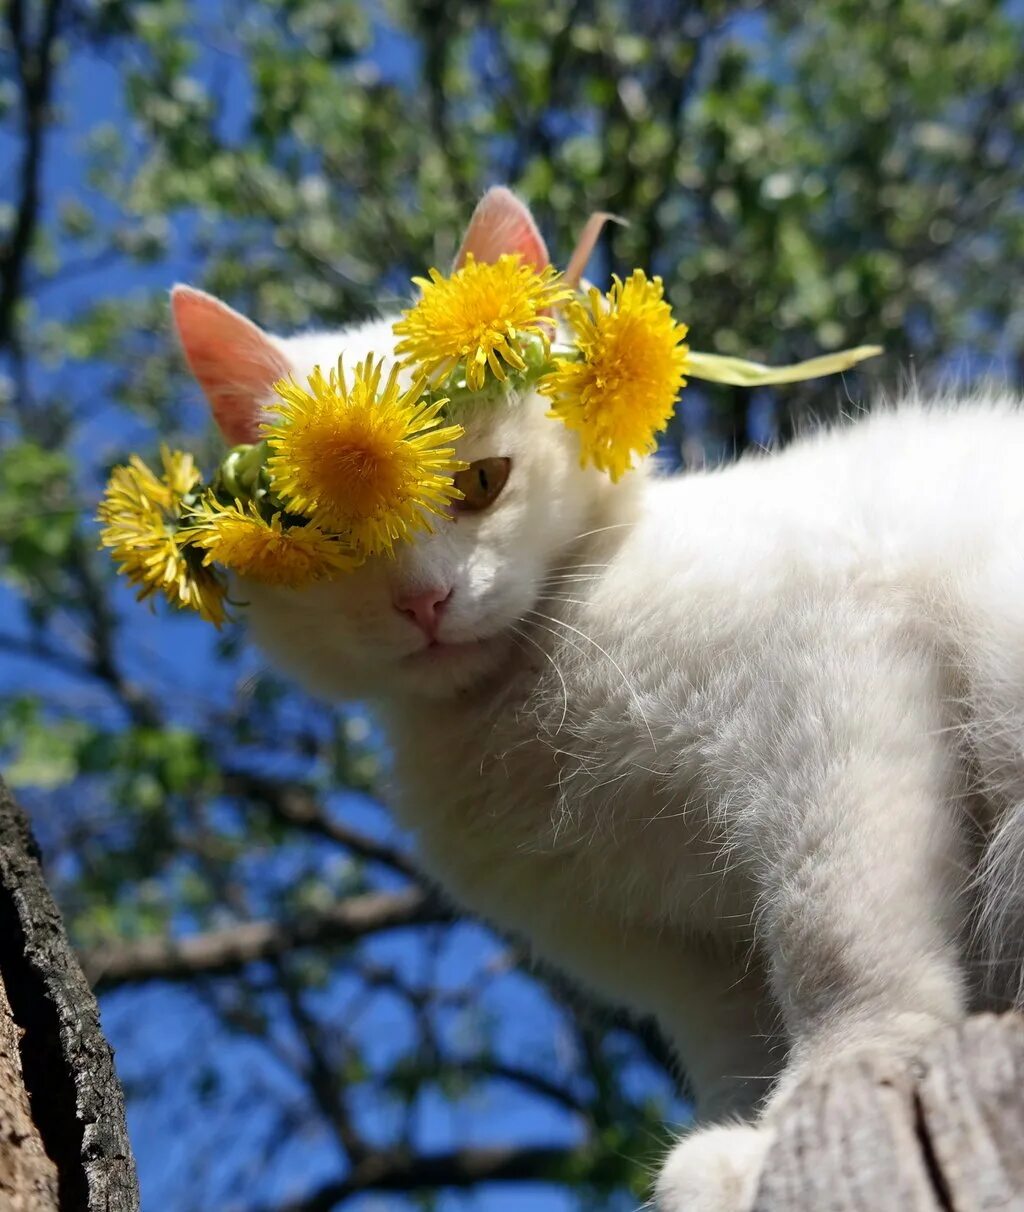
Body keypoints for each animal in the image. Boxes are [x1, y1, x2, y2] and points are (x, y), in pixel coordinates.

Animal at [169, 184, 1022, 1207]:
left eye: (480, 483)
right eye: (324, 529)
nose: (424, 602)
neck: (524, 695)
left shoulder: (834, 695)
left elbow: (837, 937)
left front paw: (830, 1091)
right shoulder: (685, 956)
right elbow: (736, 1048)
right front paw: (737, 1144)